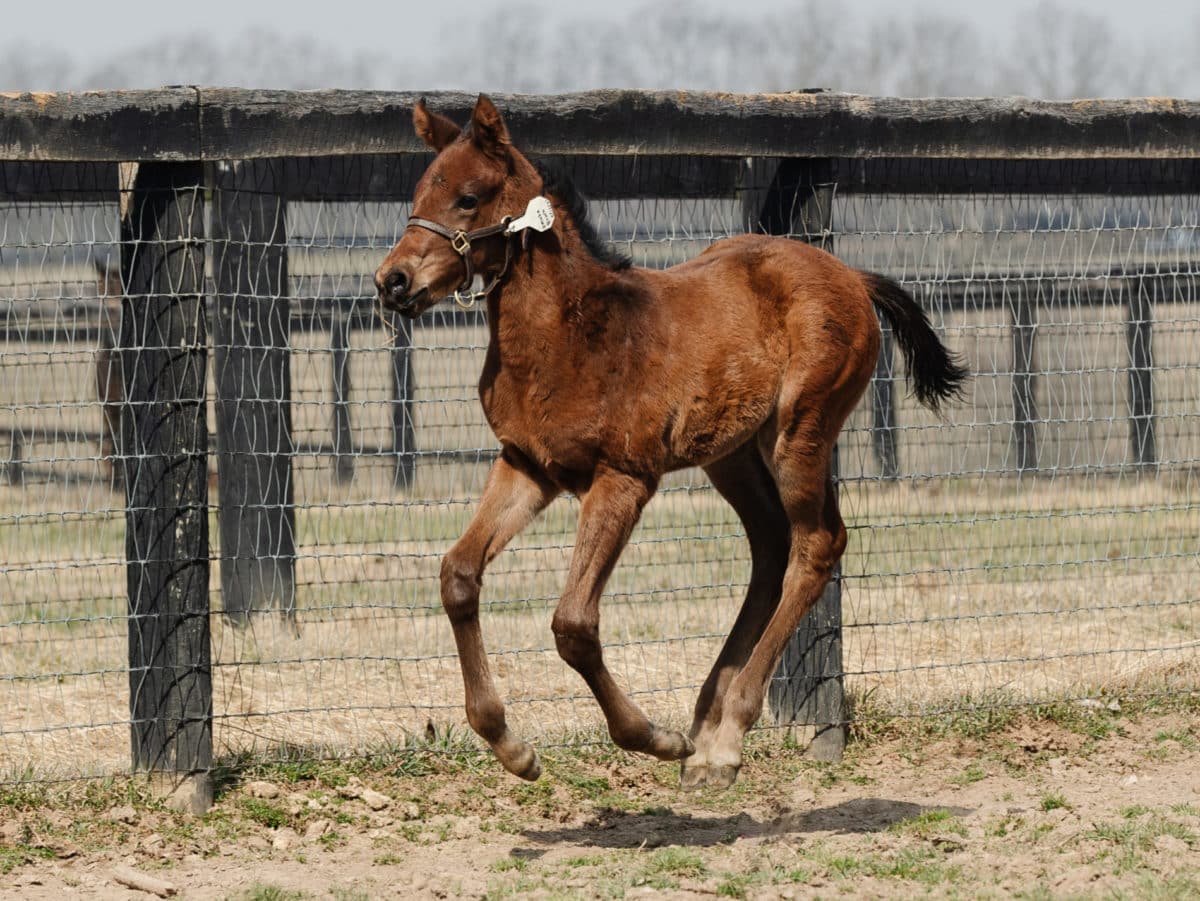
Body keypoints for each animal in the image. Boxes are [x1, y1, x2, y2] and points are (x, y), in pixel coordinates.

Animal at [374, 97, 964, 787]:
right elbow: (458, 575)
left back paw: (725, 737)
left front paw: (652, 737)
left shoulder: (623, 478)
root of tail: (849, 273)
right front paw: (510, 746)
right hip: (733, 456)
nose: (392, 281)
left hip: (800, 431)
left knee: (816, 544)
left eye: (468, 198)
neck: (567, 338)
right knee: (772, 546)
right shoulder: (526, 466)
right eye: (419, 193)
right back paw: (707, 724)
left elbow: (573, 623)